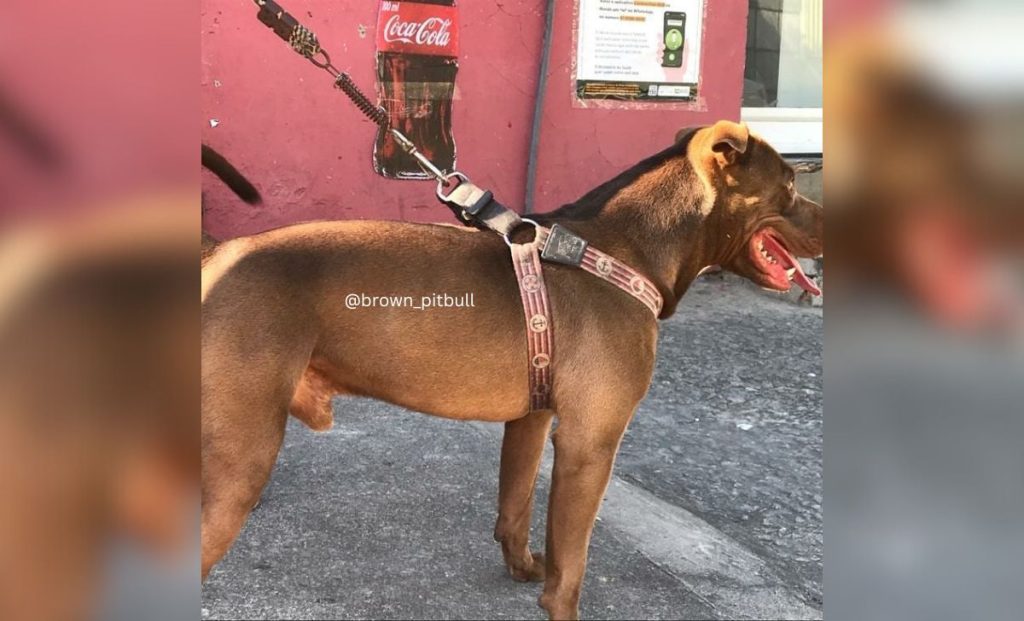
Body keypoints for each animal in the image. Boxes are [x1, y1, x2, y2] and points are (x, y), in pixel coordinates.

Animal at [199, 119, 823, 618]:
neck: (622, 251)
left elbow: (516, 508)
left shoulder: (532, 420)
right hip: (238, 465)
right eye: (792, 185)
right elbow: (572, 568)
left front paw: (522, 569)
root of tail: (216, 253)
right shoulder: (589, 447)